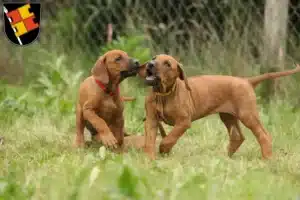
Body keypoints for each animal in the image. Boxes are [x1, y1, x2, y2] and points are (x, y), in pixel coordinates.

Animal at [141, 54, 300, 159]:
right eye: (154, 58)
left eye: (167, 64)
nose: (150, 64)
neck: (163, 94)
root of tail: (247, 81)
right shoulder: (151, 120)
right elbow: (149, 140)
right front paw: (149, 159)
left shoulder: (183, 122)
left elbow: (169, 137)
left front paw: (163, 149)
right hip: (228, 116)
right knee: (237, 136)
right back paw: (227, 157)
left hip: (247, 115)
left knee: (264, 135)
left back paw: (267, 159)